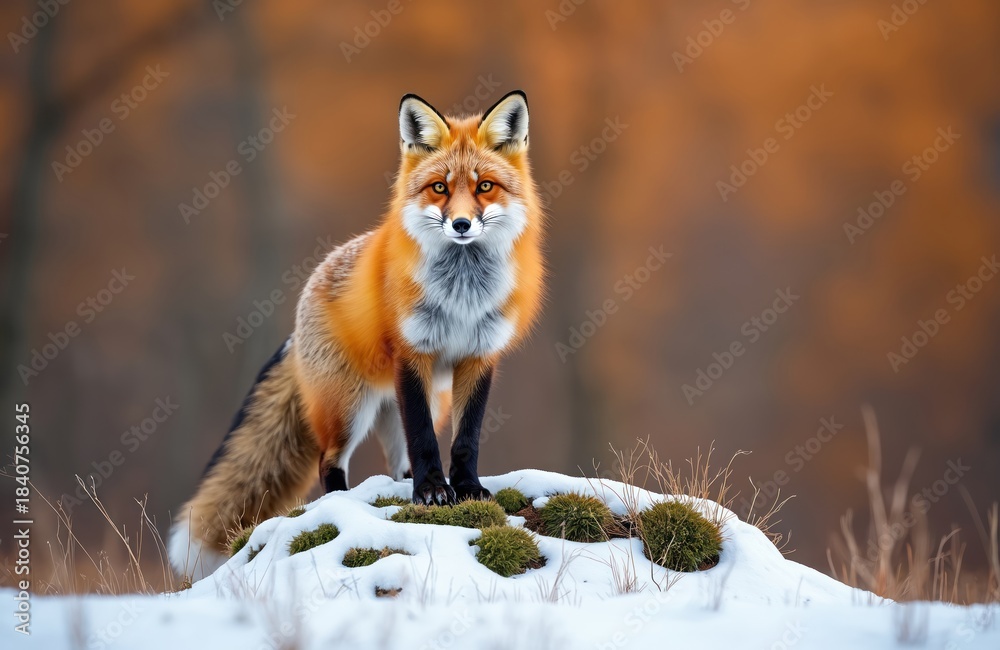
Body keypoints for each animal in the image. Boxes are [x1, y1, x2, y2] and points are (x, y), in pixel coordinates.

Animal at [169, 90, 544, 579]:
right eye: (439, 188)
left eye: (484, 187)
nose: (461, 225)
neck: (461, 294)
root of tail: (299, 317)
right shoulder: (413, 353)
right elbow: (425, 440)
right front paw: (431, 492)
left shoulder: (479, 358)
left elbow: (465, 440)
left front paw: (465, 488)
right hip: (350, 408)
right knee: (330, 462)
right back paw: (341, 501)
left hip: (413, 401)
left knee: (397, 459)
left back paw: (406, 481)